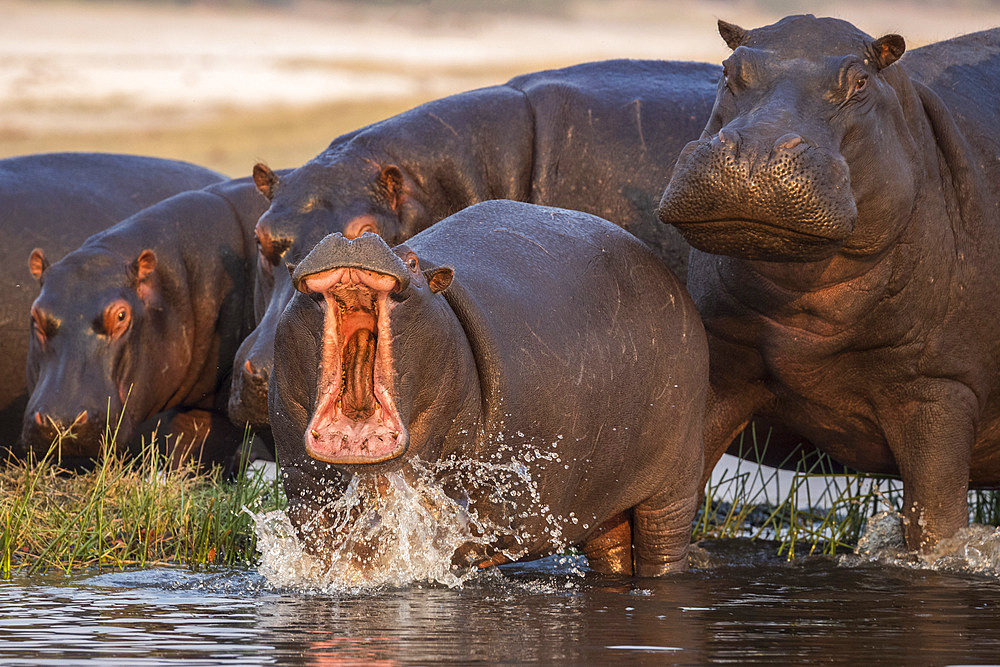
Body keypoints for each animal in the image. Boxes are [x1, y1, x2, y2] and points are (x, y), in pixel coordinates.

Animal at [270, 201, 708, 576]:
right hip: (603, 501)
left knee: (664, 544)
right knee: (612, 547)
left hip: (676, 485)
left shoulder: (477, 502)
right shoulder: (303, 489)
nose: (352, 239)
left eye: (412, 261)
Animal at [660, 15, 1000, 552]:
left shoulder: (939, 390)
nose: (754, 151)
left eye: (860, 82)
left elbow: (936, 526)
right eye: (727, 69)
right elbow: (680, 491)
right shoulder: (723, 367)